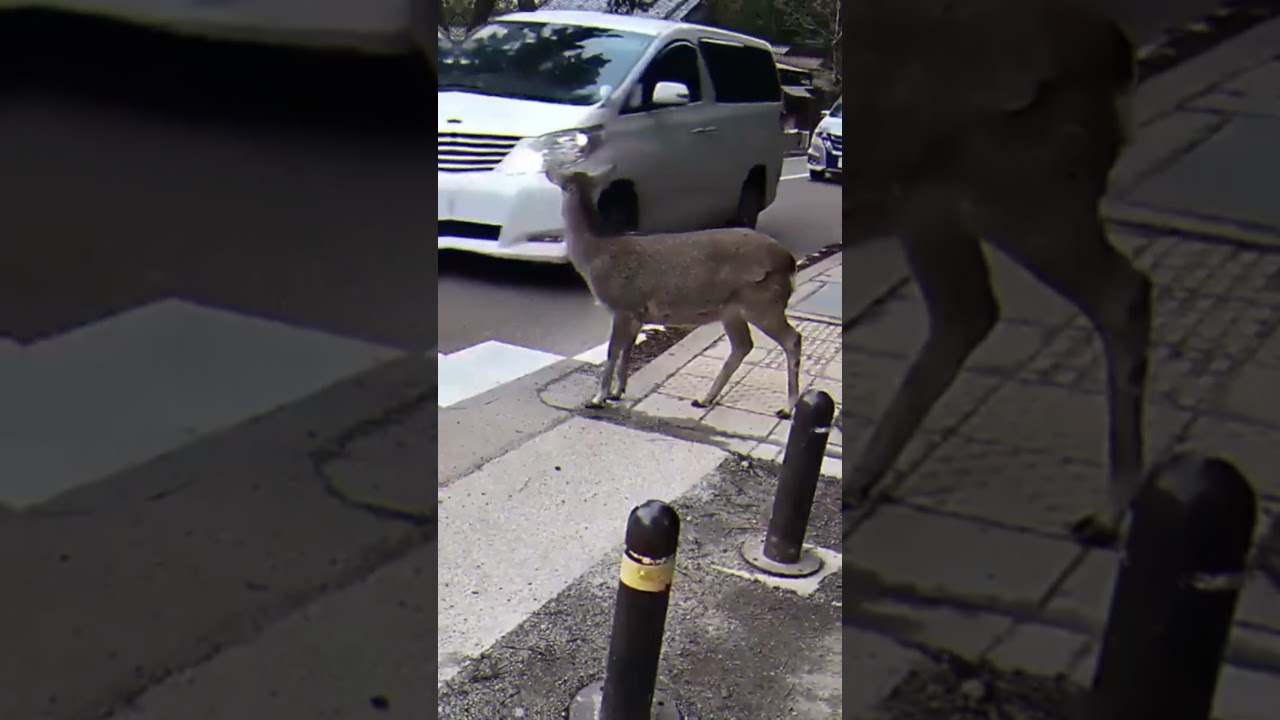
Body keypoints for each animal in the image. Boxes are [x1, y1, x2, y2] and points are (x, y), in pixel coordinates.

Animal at [542, 157, 803, 420]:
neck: (594, 256)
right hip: (732, 310)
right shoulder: (637, 313)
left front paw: (598, 398)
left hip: (763, 302)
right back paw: (704, 398)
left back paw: (787, 407)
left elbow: (612, 351)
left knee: (792, 339)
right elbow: (627, 350)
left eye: (565, 185)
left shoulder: (622, 304)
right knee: (743, 345)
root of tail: (789, 261)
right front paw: (618, 391)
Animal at [840, 0, 1150, 548]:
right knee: (967, 312)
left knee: (1122, 294)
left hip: (1025, 182)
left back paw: (1106, 515)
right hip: (935, 203)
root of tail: (1115, 48)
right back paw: (859, 480)